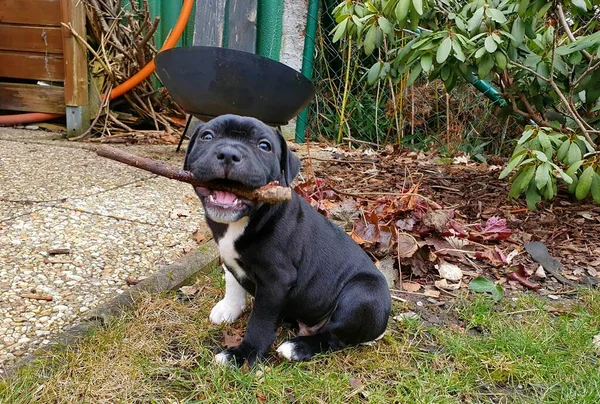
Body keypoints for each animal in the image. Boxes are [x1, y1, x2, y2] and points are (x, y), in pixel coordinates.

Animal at [185, 113, 392, 366]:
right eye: (207, 136)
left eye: (264, 146)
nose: (228, 153)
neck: (244, 220)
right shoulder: (229, 257)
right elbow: (232, 281)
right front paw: (229, 309)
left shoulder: (275, 281)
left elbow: (260, 322)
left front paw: (244, 355)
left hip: (364, 294)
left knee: (335, 338)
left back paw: (296, 348)